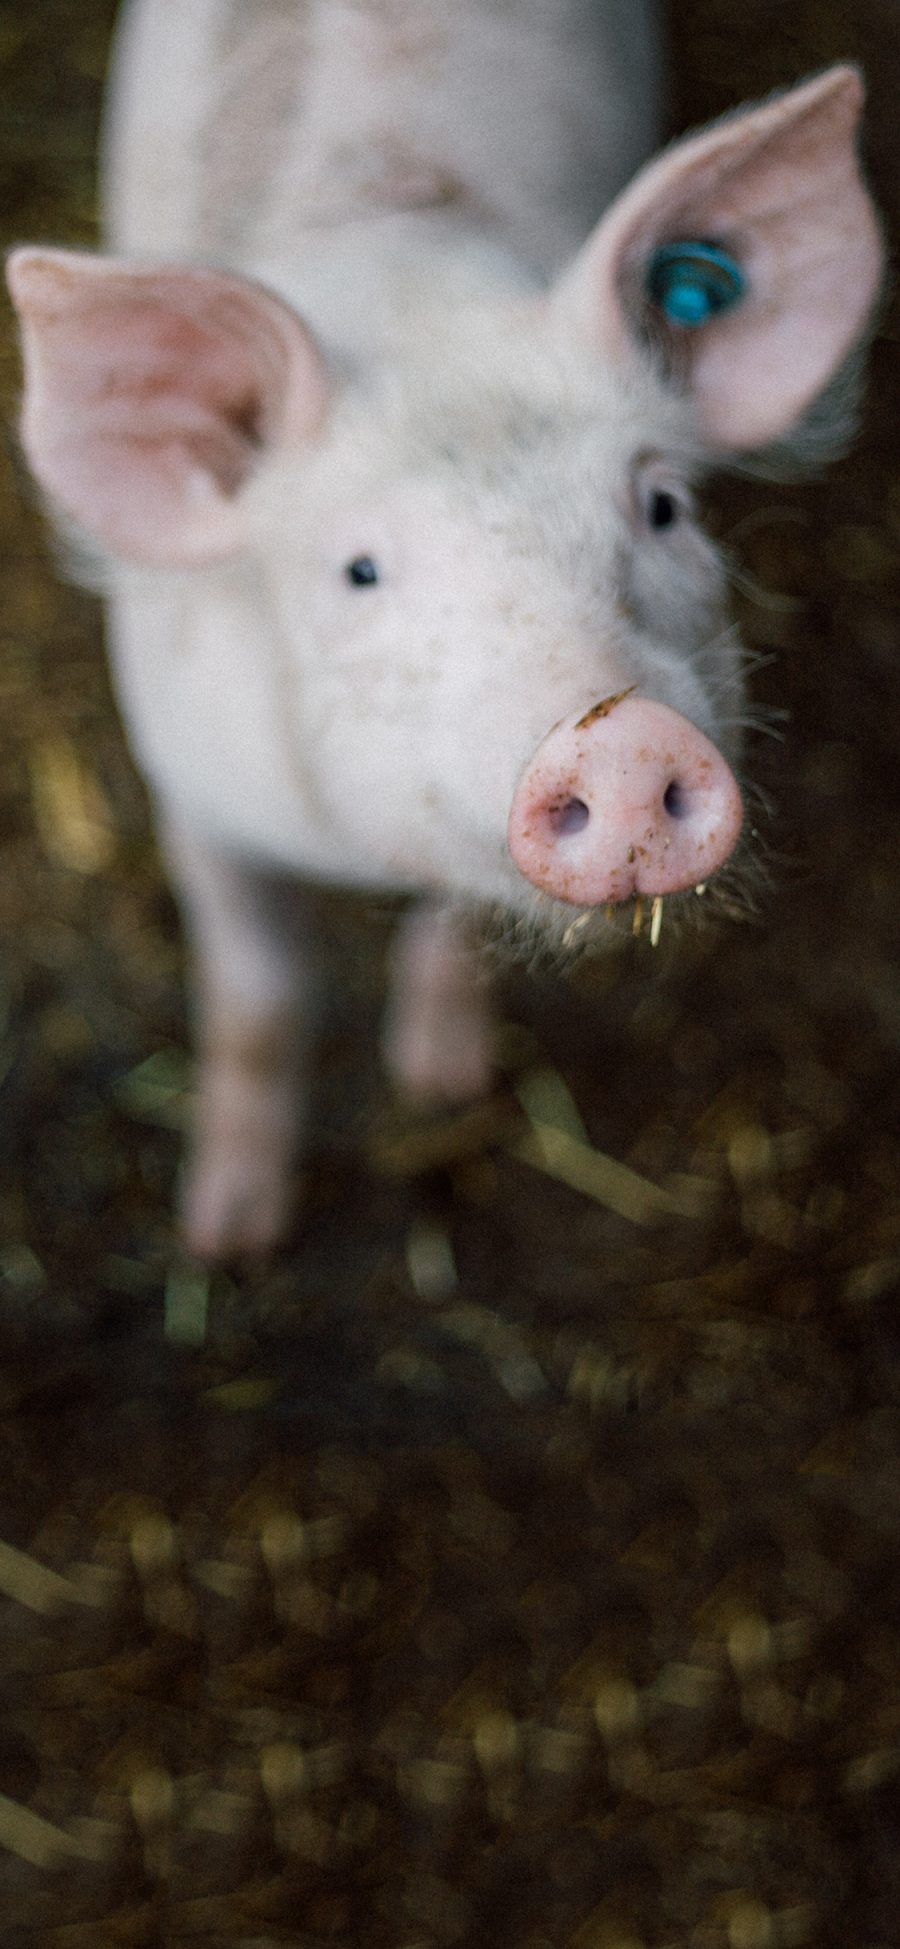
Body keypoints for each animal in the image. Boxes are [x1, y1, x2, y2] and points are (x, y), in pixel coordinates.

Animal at [5, 3, 880, 1262]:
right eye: (359, 570)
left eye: (664, 506)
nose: (623, 735)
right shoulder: (189, 790)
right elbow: (258, 998)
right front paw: (228, 1233)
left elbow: (454, 927)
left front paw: (442, 1083)